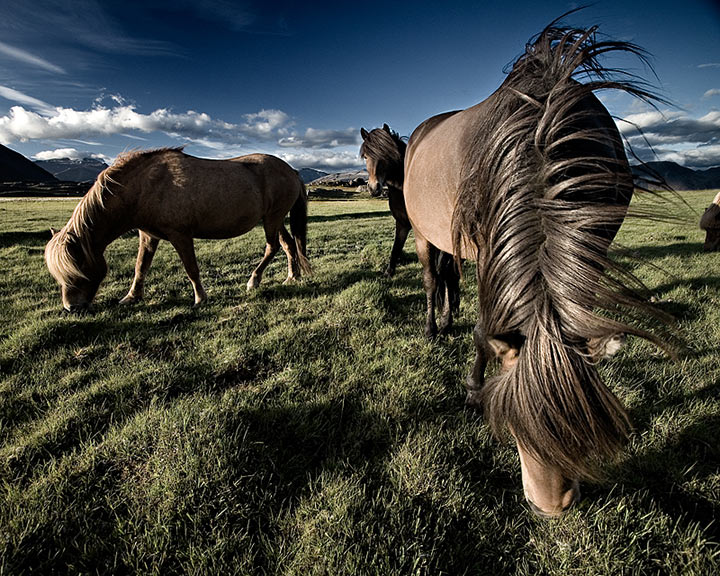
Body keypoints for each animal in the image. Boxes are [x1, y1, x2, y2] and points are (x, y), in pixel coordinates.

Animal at [360, 124, 462, 336]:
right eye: (365, 156)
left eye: (387, 153)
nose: (373, 188)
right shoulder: (402, 224)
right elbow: (395, 249)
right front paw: (389, 272)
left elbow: (443, 273)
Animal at [404, 19, 676, 516]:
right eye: (512, 425)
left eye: (585, 423)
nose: (554, 506)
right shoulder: (487, 248)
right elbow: (485, 331)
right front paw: (472, 391)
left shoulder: (595, 242)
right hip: (421, 232)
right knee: (434, 280)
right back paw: (434, 327)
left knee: (449, 279)